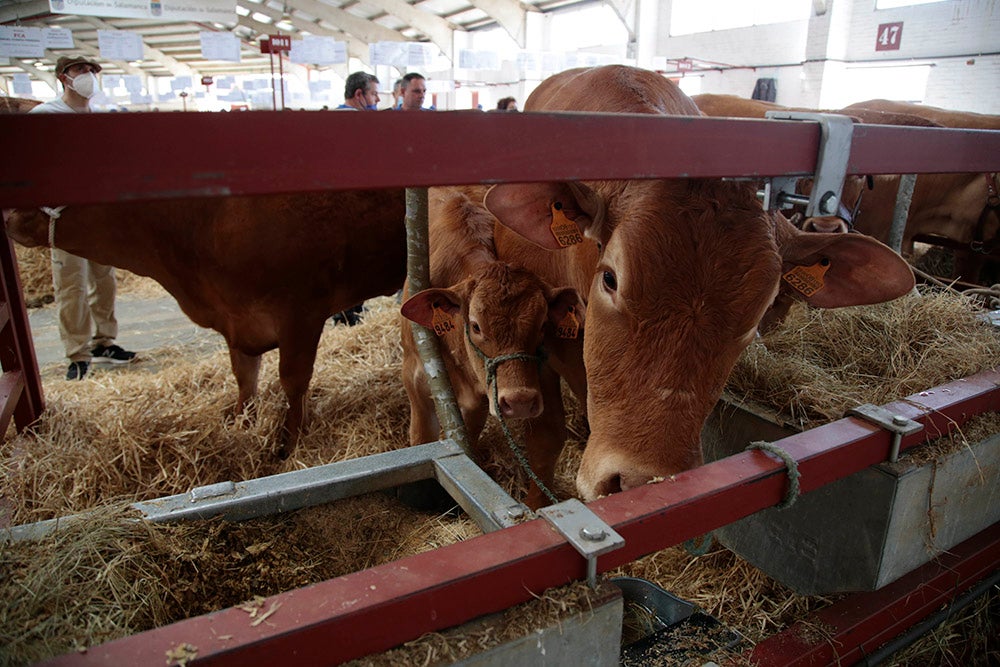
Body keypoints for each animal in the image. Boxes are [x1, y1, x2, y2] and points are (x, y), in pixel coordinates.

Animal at [6, 190, 406, 456]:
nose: (9, 216)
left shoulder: (301, 313)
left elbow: (293, 381)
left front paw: (287, 442)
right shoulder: (238, 322)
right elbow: (245, 377)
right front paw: (241, 422)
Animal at [400, 185, 584, 508]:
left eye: (542, 325)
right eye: (475, 326)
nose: (519, 401)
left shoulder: (485, 397)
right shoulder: (414, 374)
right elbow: (422, 439)